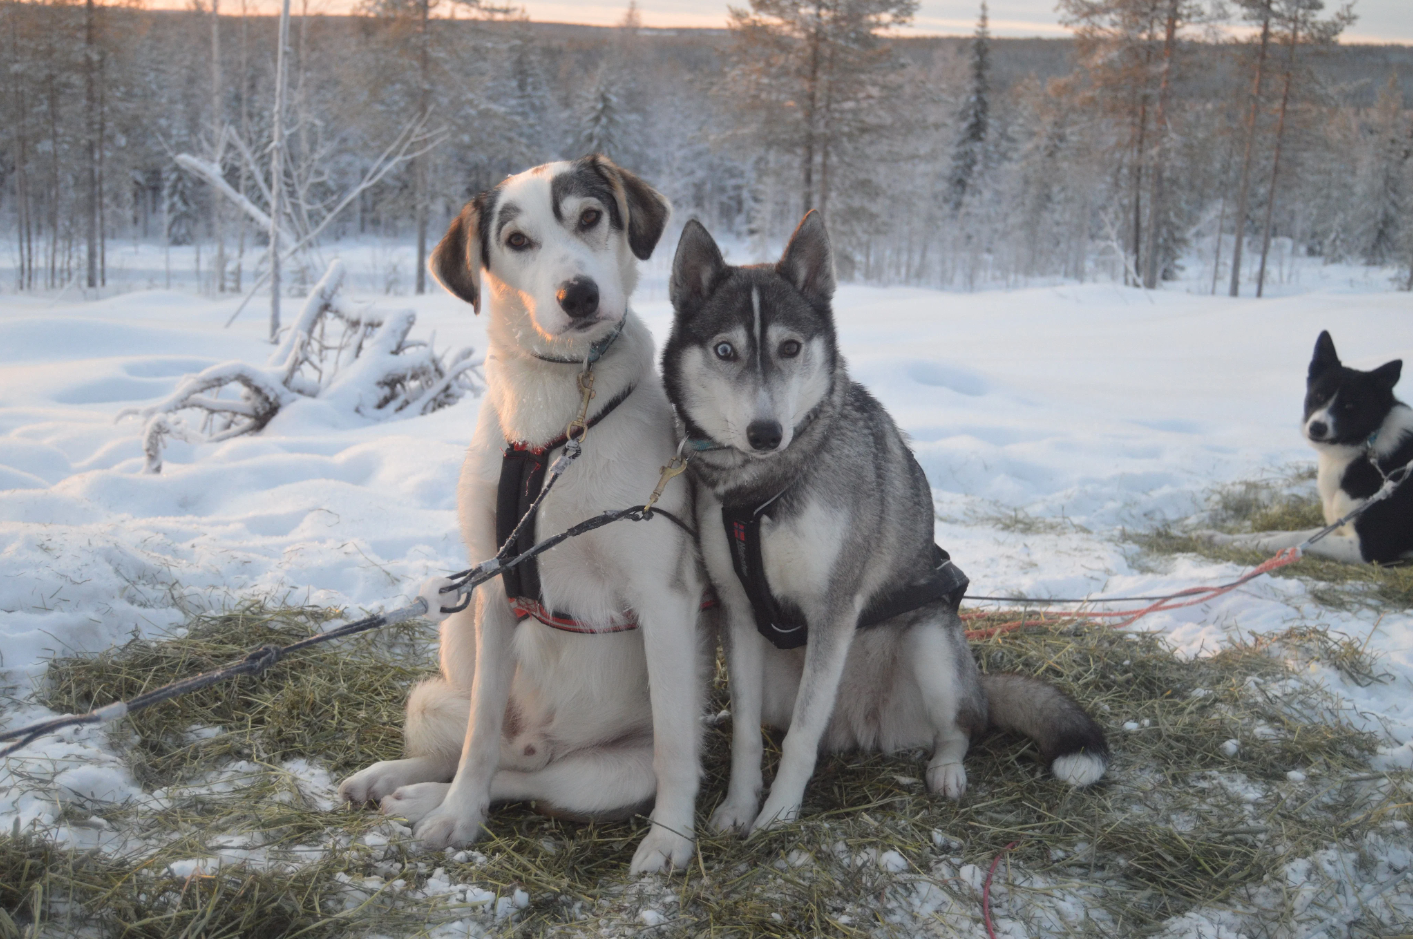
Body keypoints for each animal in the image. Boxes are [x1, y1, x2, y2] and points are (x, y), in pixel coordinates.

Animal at [337, 155, 712, 869]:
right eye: (517, 241)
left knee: (530, 779)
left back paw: (415, 794)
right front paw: (458, 814)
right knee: (484, 750)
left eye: (590, 217)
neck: (557, 413)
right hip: (457, 635)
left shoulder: (663, 596)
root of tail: (545, 742)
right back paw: (402, 781)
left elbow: (677, 746)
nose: (579, 296)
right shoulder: (494, 590)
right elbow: (479, 736)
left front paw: (672, 838)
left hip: (608, 773)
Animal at [658, 214, 1102, 835]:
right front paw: (739, 808)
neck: (763, 487)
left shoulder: (834, 608)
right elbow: (747, 734)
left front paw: (778, 815)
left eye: (789, 348)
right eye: (726, 350)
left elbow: (801, 737)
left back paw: (946, 770)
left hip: (931, 643)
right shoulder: (739, 610)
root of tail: (860, 727)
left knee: (961, 727)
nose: (766, 433)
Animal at [1203, 331, 1413, 564]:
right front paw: (1221, 538)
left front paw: (1246, 546)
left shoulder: (1368, 549)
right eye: (1319, 395)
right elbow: (1288, 535)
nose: (1317, 428)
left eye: (1349, 405)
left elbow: (1291, 541)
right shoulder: (1337, 526)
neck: (1365, 445)